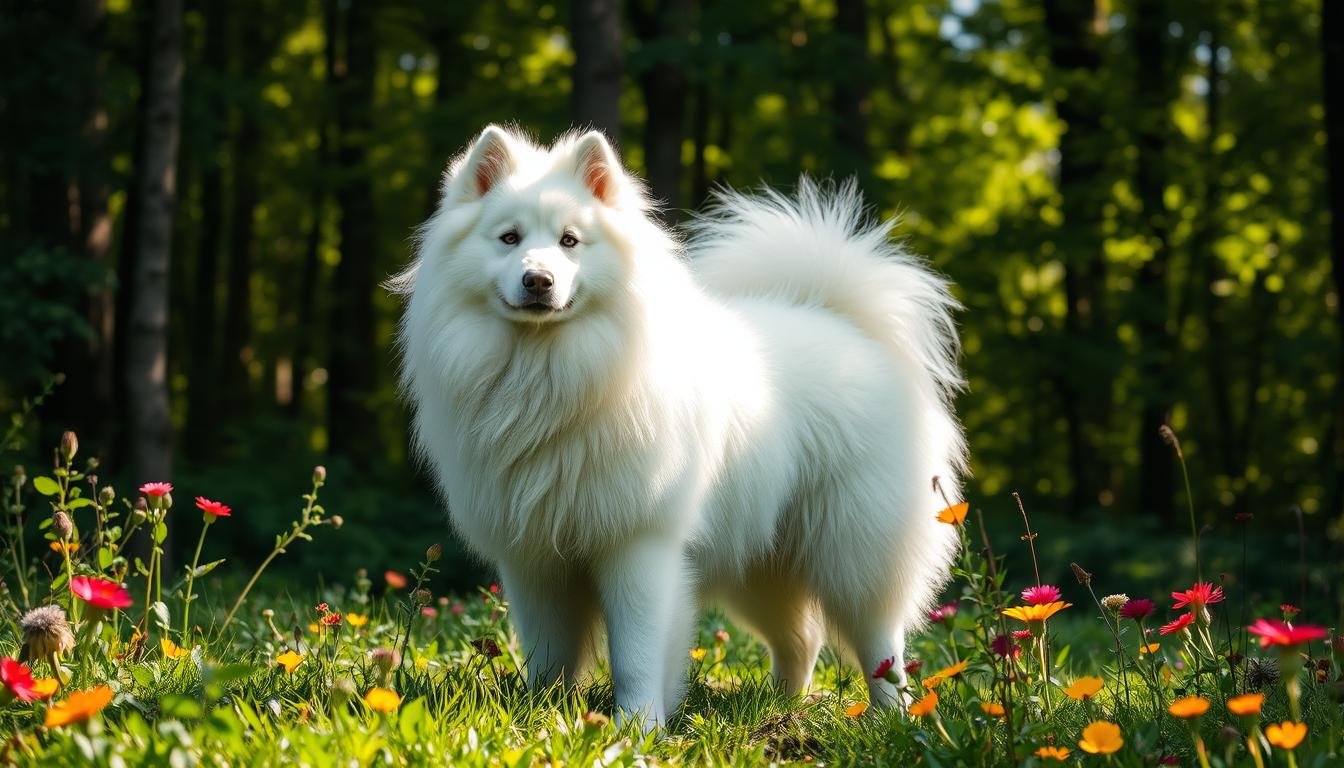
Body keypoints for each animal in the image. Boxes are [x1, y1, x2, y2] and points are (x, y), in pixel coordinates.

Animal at [392, 124, 967, 726]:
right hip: (762, 563)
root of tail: (840, 322)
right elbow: (548, 653)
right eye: (508, 238)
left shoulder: (639, 545)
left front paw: (636, 726)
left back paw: (891, 717)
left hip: (854, 551)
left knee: (882, 646)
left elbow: (635, 654)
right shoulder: (534, 558)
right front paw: (540, 712)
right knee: (801, 640)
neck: (550, 374)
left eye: (571, 241)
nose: (538, 280)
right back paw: (779, 708)